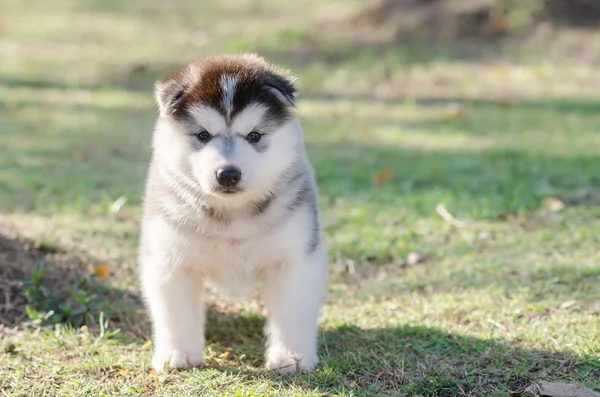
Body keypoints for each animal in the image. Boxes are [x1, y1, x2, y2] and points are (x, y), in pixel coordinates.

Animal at [138, 54, 328, 372]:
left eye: (254, 135)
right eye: (203, 135)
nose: (228, 174)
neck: (232, 216)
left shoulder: (296, 258)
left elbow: (292, 314)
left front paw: (291, 356)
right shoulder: (170, 260)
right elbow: (175, 314)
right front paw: (178, 352)